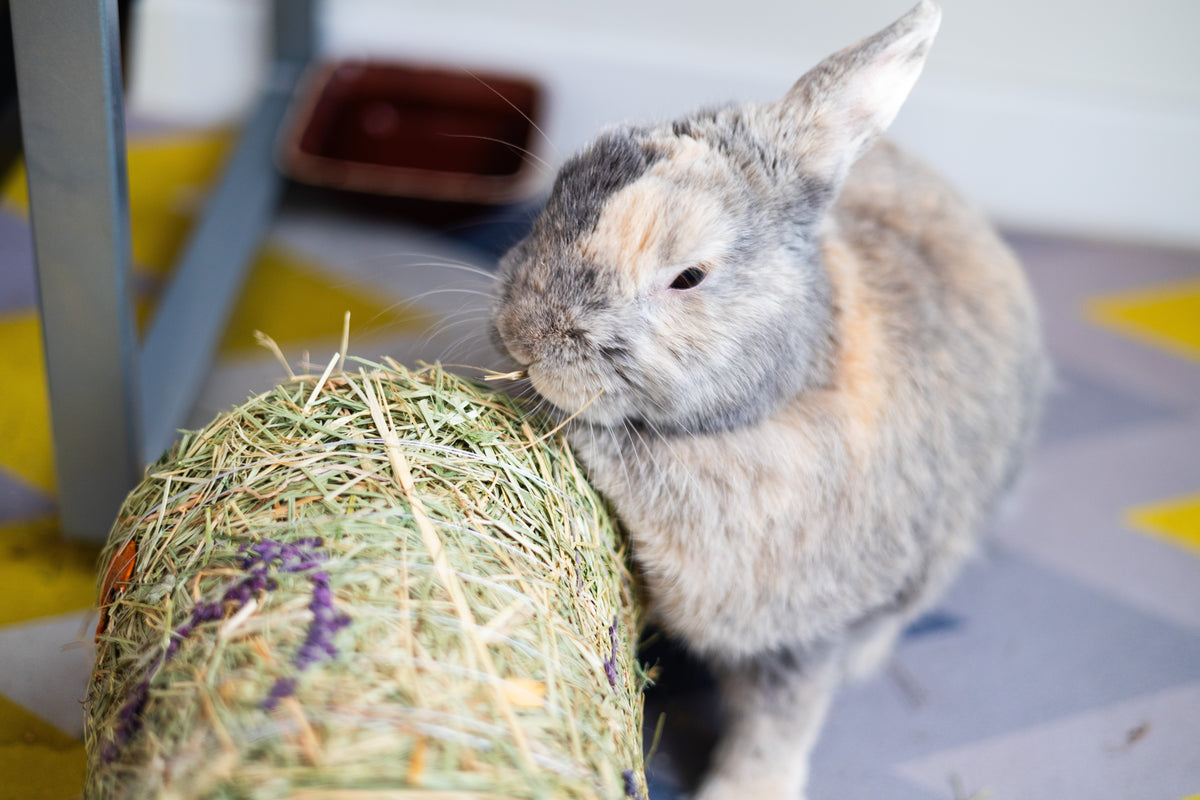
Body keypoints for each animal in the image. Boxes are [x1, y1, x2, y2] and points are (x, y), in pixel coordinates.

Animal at [489, 1, 1047, 797]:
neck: (772, 401)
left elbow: (778, 726)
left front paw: (744, 789)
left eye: (689, 277)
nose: (527, 335)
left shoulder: (803, 636)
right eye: (563, 189)